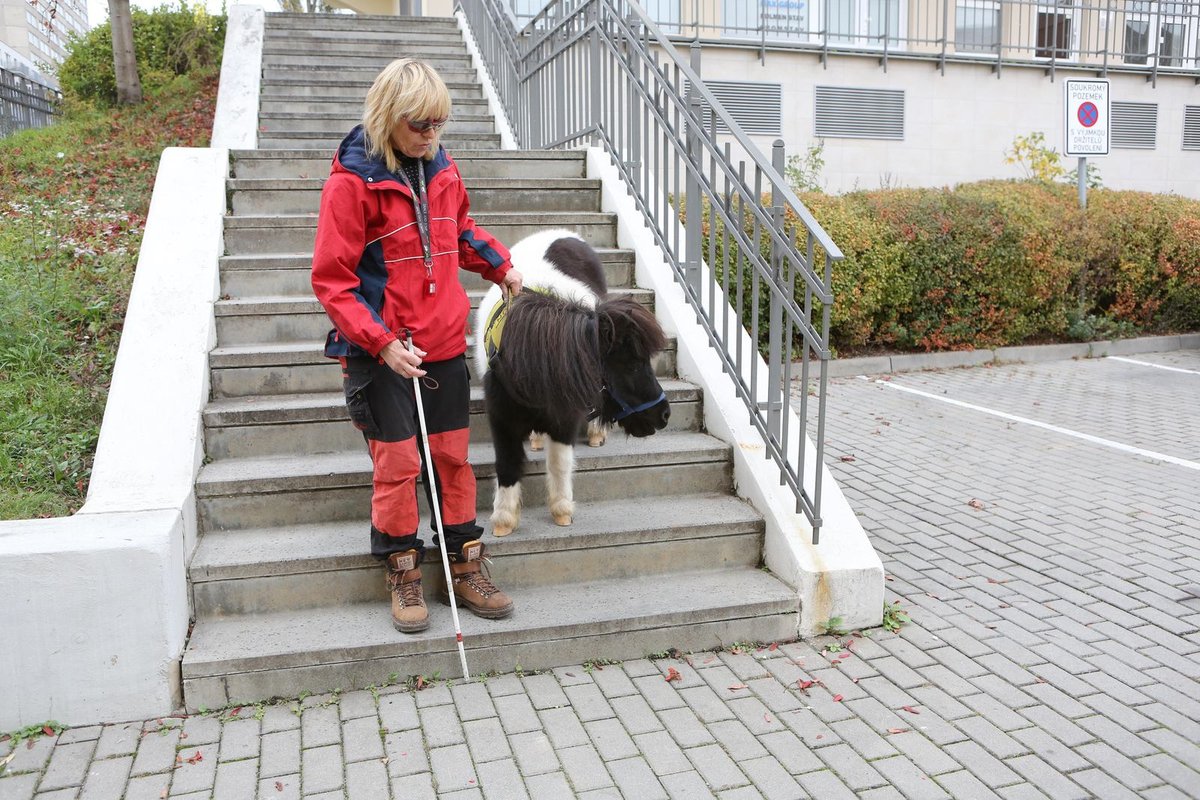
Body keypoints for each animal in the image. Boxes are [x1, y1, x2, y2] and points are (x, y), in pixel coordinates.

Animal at [472, 227, 672, 534]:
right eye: (631, 365)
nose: (663, 414)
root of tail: (563, 233)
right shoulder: (502, 419)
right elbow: (506, 463)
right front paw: (504, 520)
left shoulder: (565, 418)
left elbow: (559, 463)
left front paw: (562, 510)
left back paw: (596, 434)